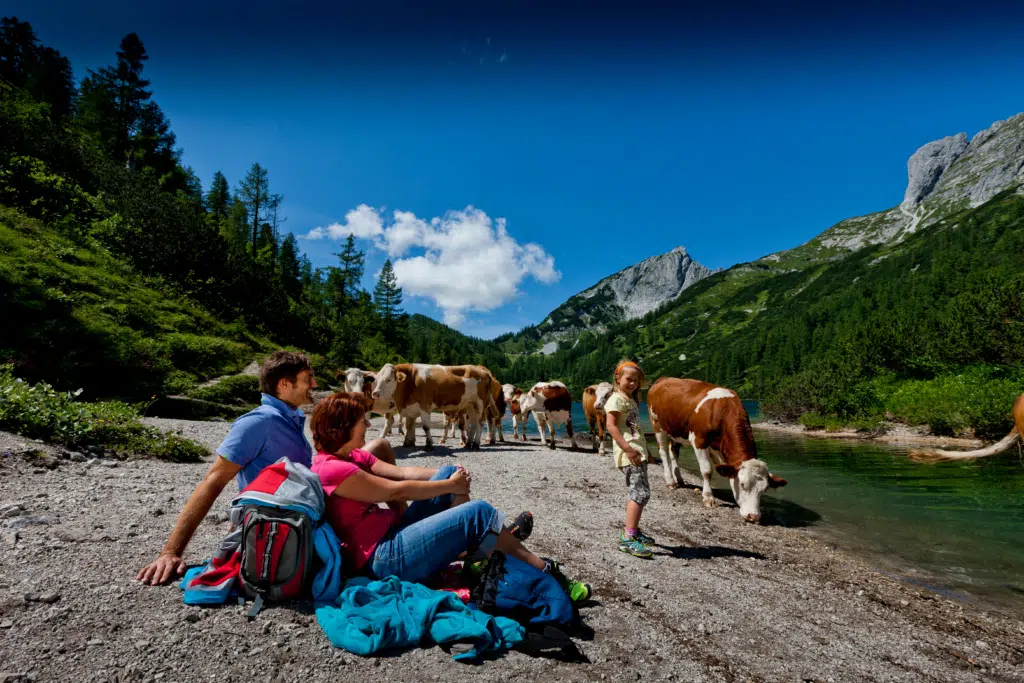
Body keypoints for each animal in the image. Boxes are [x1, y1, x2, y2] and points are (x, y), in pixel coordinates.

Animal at [647, 378, 782, 524]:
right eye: (742, 484)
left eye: (764, 489)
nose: (754, 516)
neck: (723, 411)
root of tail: (663, 379)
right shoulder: (699, 441)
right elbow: (707, 471)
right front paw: (708, 497)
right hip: (657, 425)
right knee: (664, 452)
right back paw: (670, 481)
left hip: (675, 430)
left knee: (674, 452)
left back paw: (679, 479)